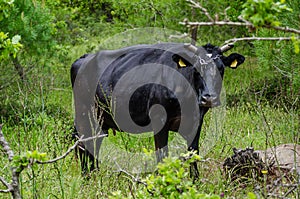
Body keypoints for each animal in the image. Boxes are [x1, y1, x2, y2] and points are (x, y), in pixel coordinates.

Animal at [71, 42, 245, 176]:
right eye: (196, 69)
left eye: (221, 69)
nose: (209, 98)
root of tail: (85, 58)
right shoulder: (159, 120)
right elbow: (162, 155)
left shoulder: (196, 121)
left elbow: (193, 153)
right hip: (83, 114)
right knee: (82, 144)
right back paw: (87, 177)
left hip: (101, 120)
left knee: (94, 143)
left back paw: (95, 174)